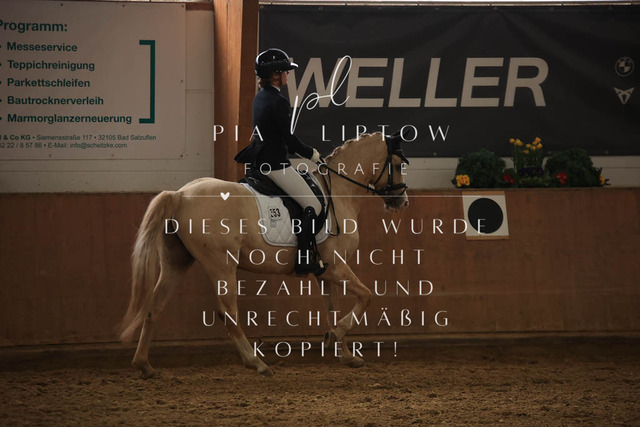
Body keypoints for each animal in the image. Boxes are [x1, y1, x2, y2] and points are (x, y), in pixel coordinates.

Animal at [119, 131, 410, 378]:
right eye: (397, 165)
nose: (402, 202)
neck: (338, 191)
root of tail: (181, 195)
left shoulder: (325, 272)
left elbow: (332, 310)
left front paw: (345, 354)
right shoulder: (336, 266)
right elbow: (366, 296)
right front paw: (335, 336)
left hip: (176, 262)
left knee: (154, 307)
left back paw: (144, 365)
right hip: (221, 265)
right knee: (228, 314)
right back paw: (257, 363)